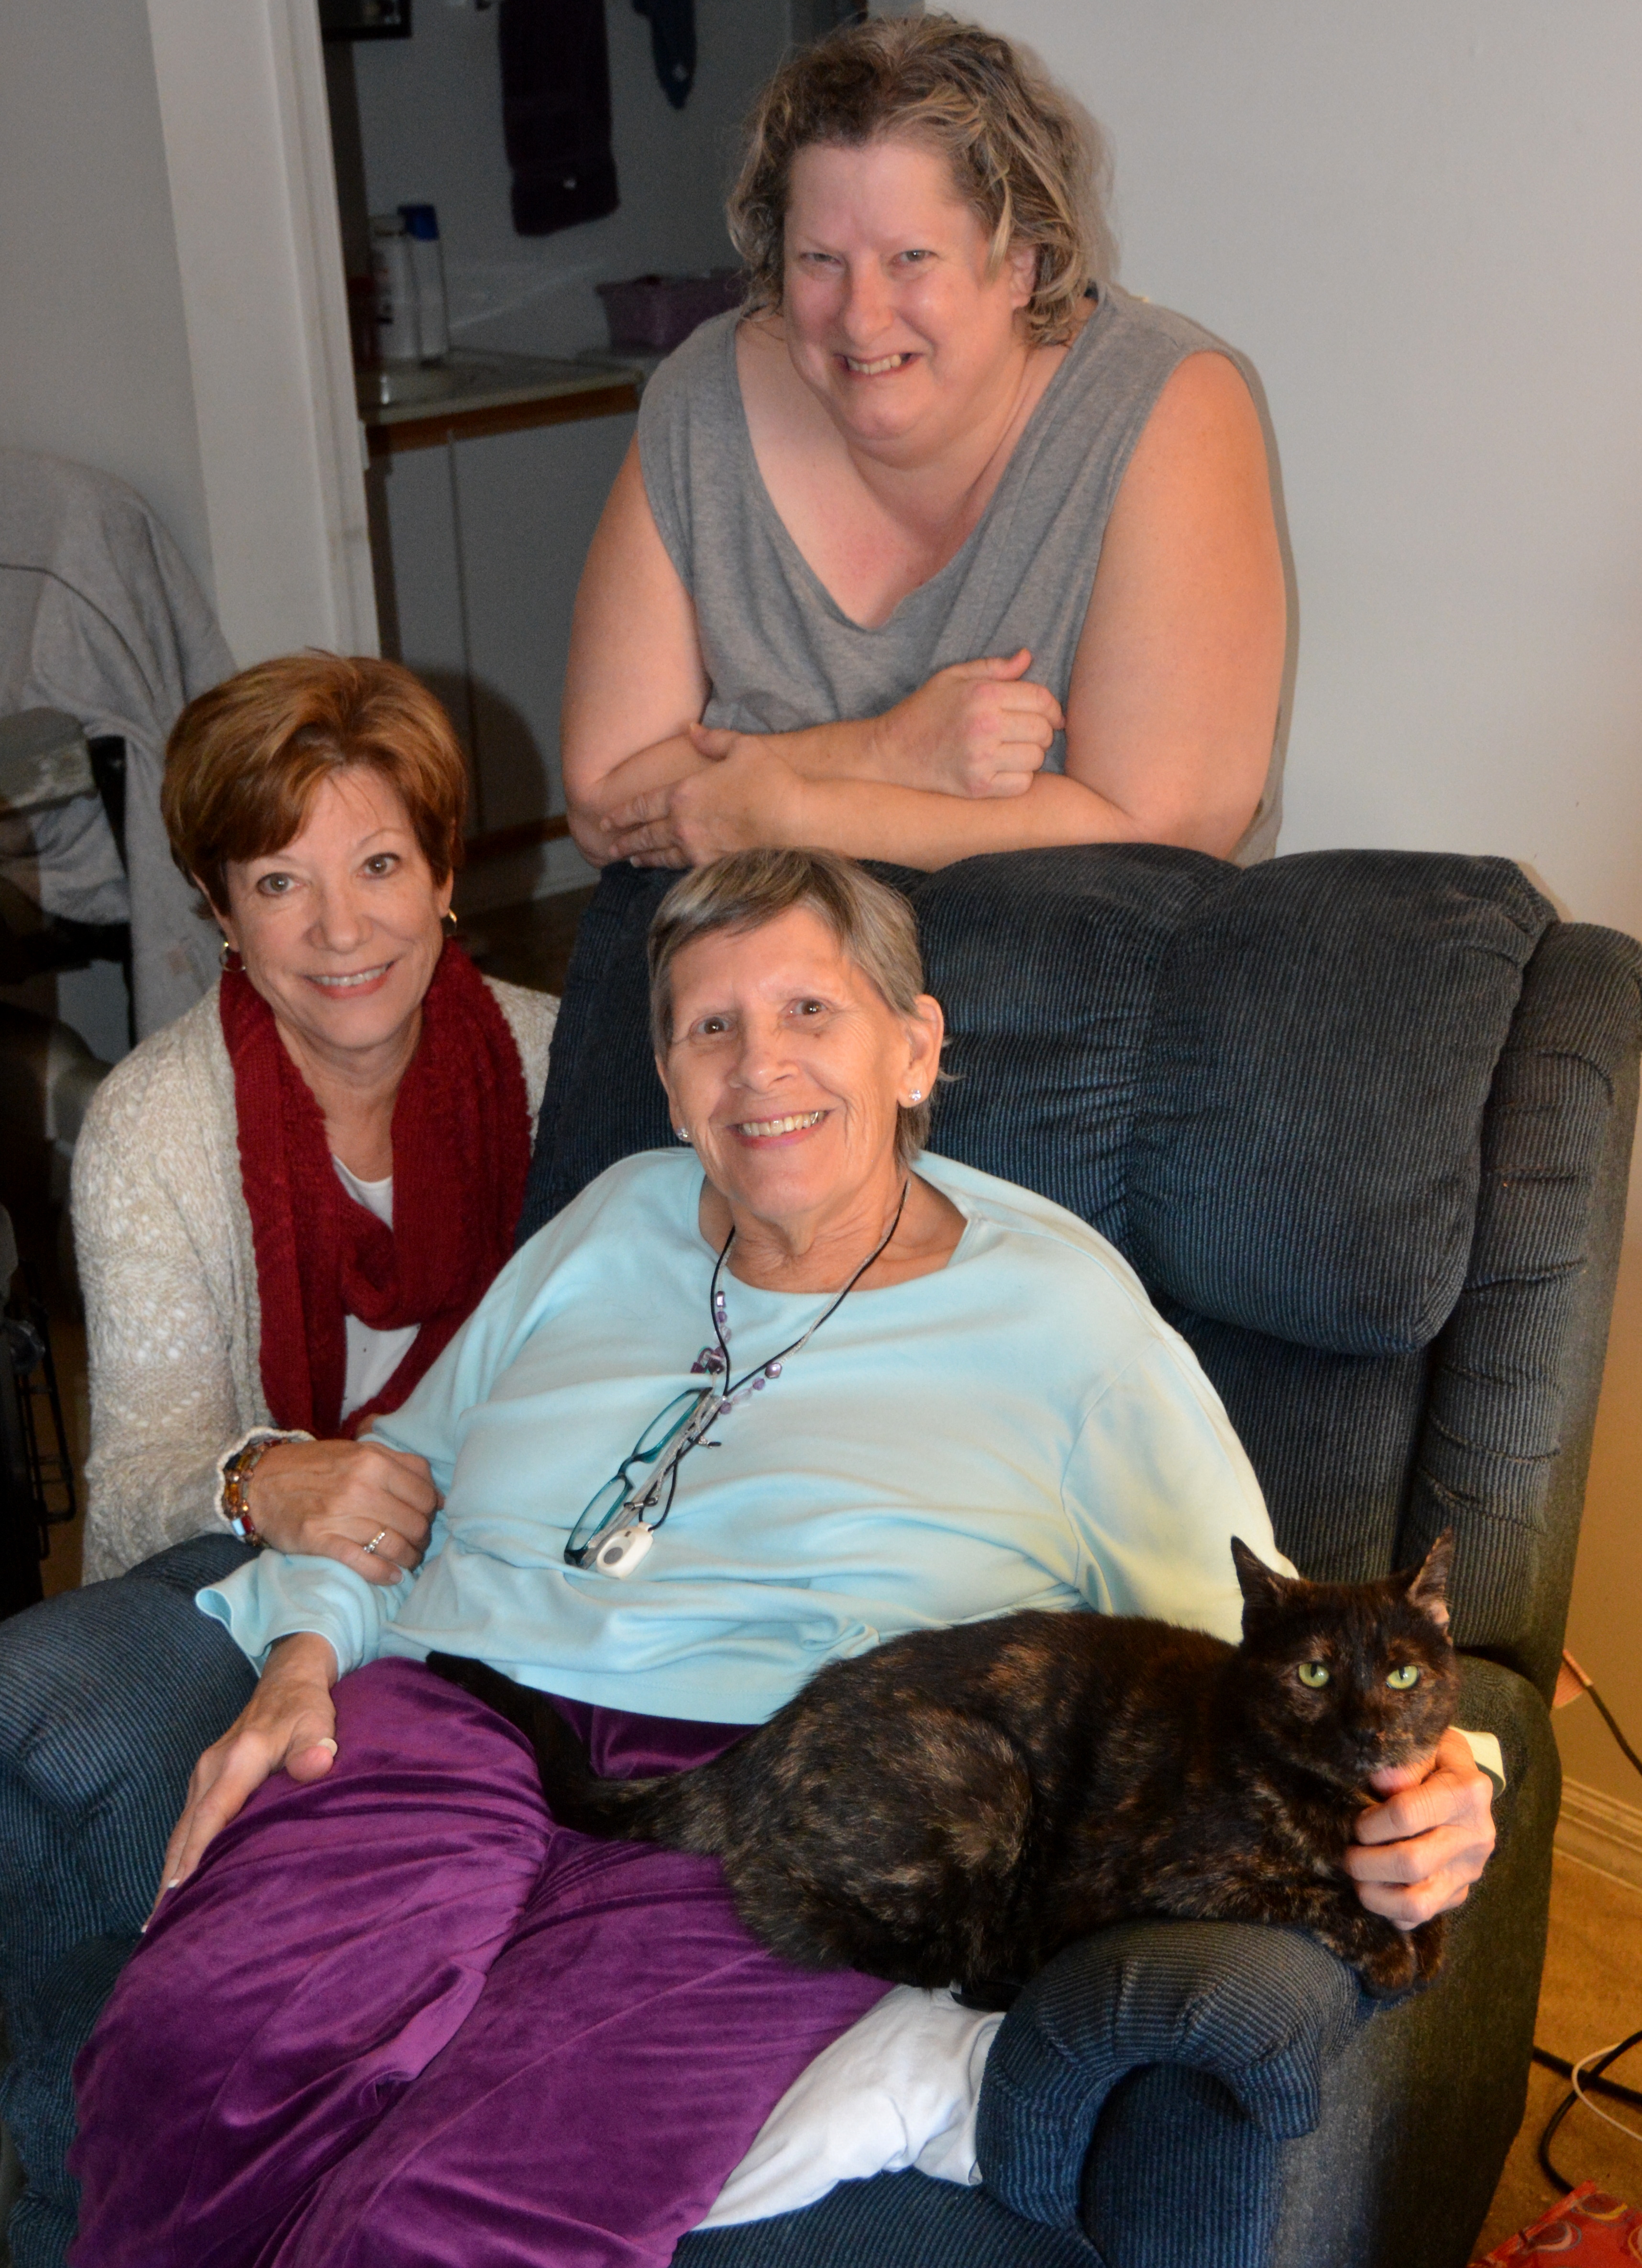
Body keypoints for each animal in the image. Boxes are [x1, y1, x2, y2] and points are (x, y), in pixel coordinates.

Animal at [427, 1531, 1459, 2007]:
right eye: (1312, 1673)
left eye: (1403, 1672)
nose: (1369, 1729)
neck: (1339, 1799)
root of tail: (752, 1749)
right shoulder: (1184, 1874)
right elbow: (1313, 1896)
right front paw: (1389, 1948)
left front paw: (1424, 1928)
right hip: (985, 1779)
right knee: (849, 1931)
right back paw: (988, 1975)